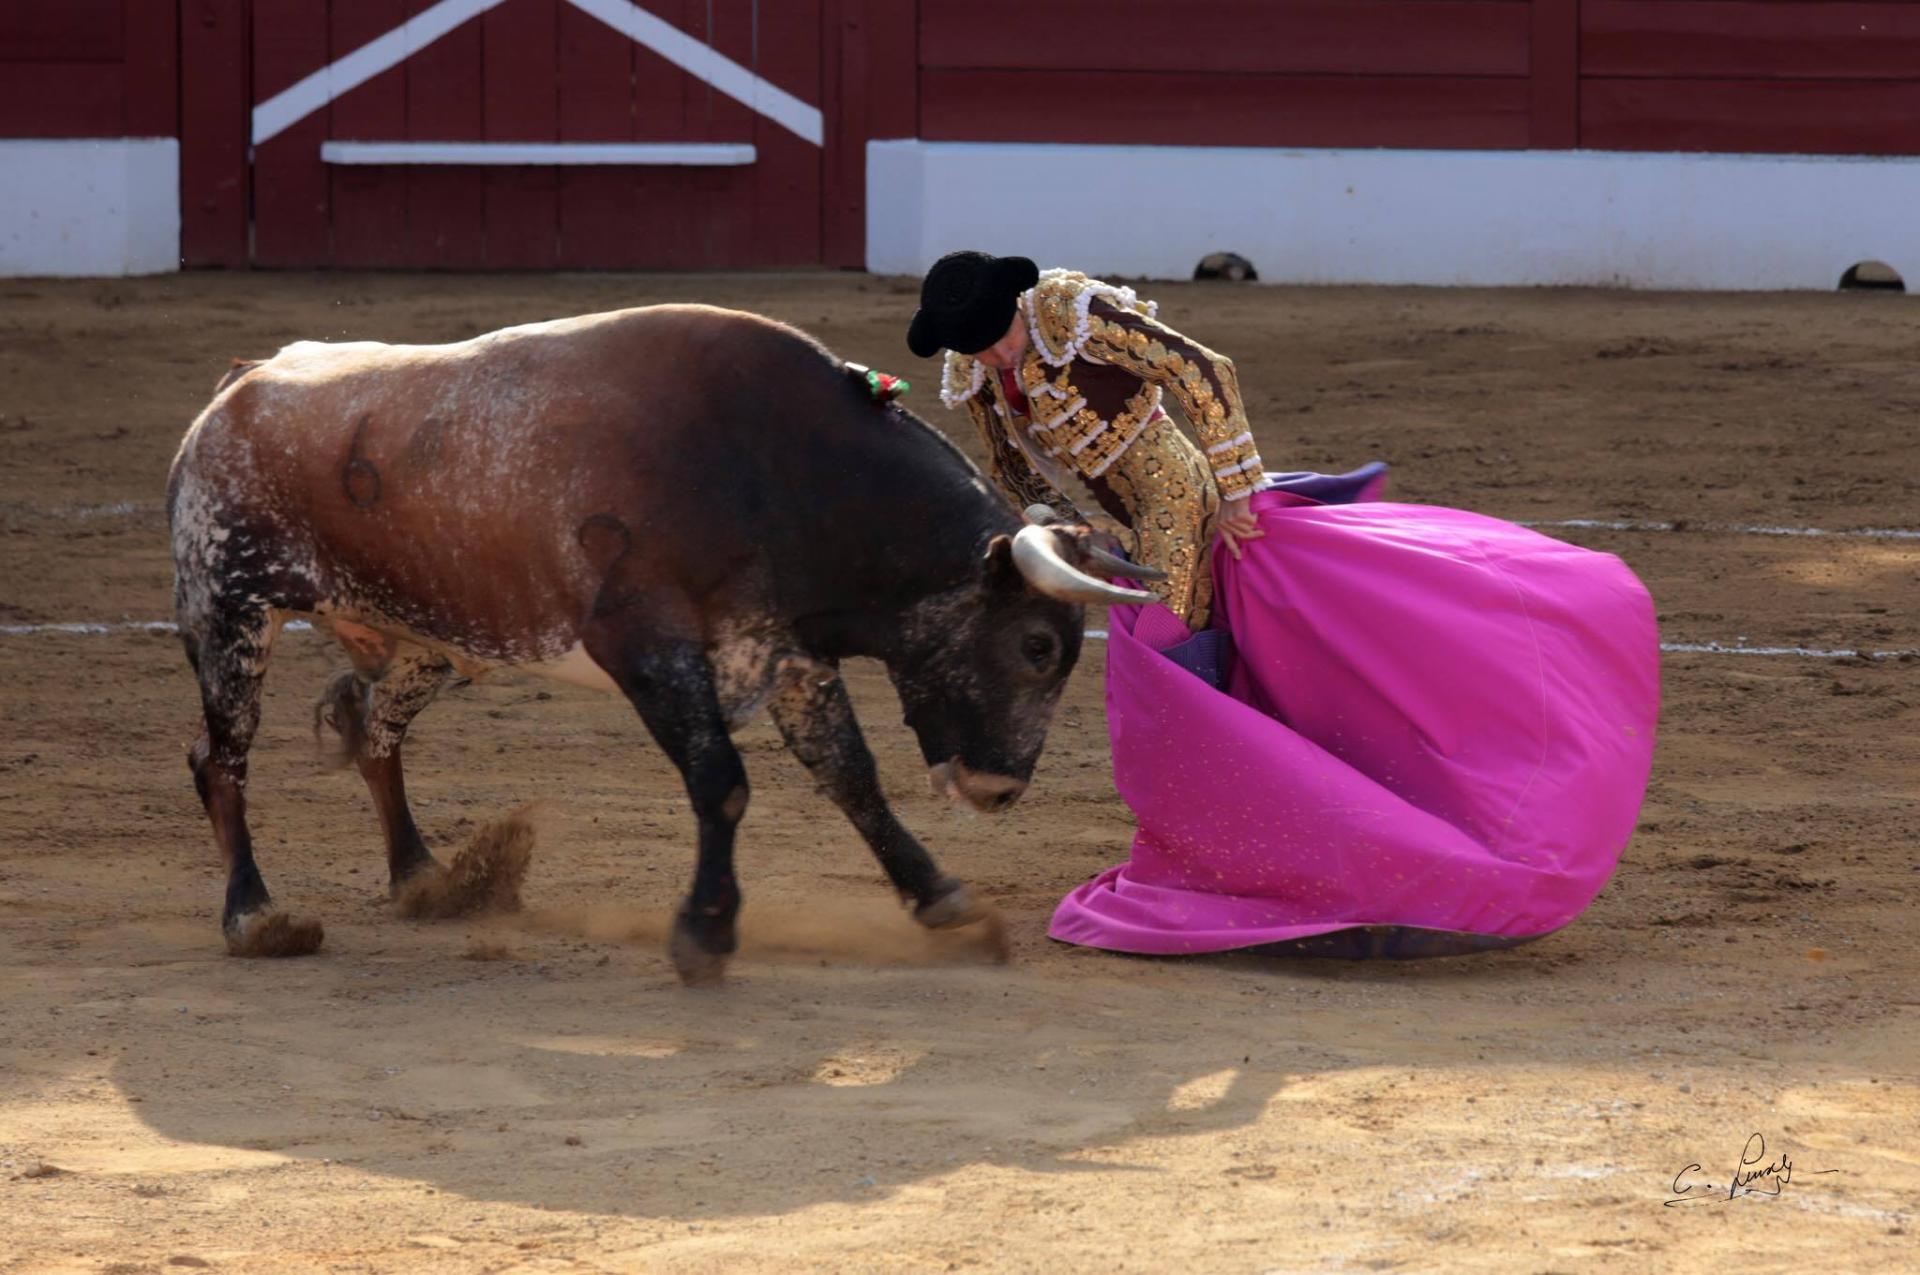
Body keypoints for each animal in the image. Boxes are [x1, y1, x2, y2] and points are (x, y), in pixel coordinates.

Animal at [168, 307, 1152, 983]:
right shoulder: (649, 645)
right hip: (228, 607)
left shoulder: (788, 655)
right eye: (1037, 646)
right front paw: (704, 932)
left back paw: (424, 878)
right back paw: (256, 917)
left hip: (430, 638)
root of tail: (243, 383)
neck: (778, 469)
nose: (999, 788)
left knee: (374, 729)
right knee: (223, 759)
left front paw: (943, 898)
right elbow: (722, 782)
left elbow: (852, 777)